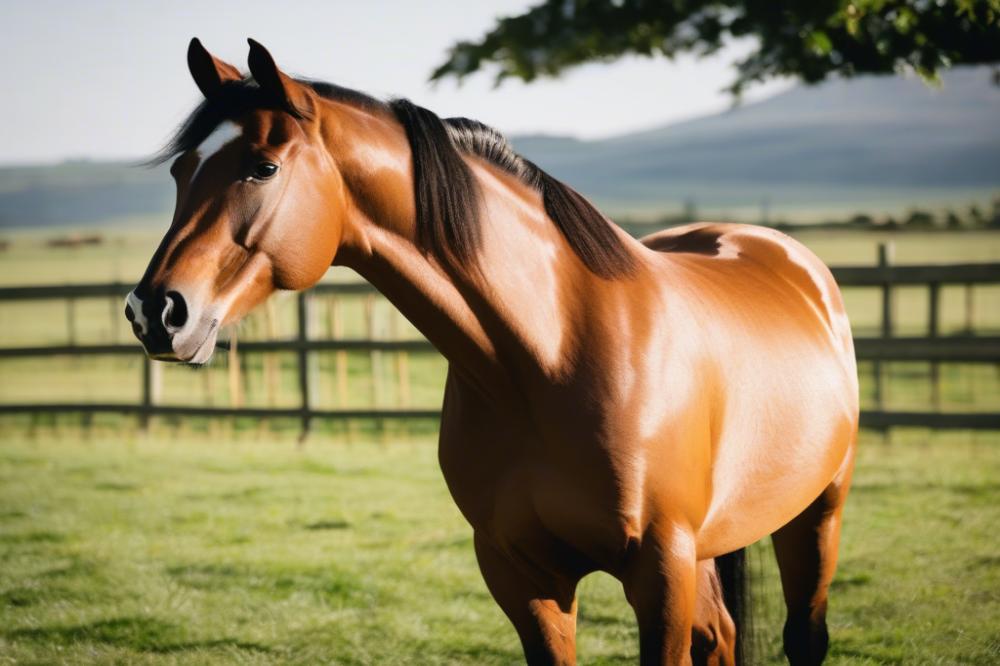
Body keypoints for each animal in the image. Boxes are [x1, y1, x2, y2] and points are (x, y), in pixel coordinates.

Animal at [125, 38, 858, 665]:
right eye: (182, 169)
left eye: (263, 167)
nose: (155, 311)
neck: (551, 357)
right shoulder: (520, 573)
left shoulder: (659, 570)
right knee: (720, 635)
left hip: (814, 516)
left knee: (804, 635)